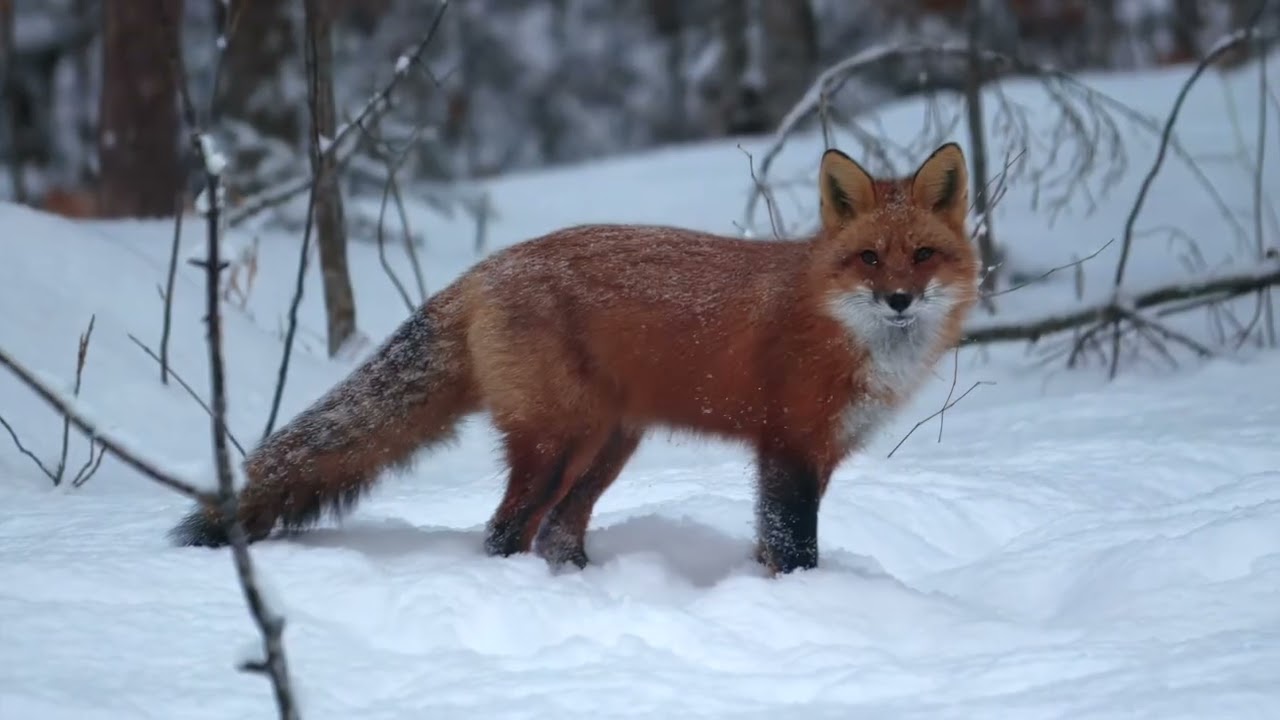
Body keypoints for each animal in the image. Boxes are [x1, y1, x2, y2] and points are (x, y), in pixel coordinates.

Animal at [169, 142, 980, 576]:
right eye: (869, 258)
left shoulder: (819, 454)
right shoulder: (786, 447)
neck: (838, 327)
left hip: (606, 445)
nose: (899, 300)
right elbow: (793, 546)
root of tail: (482, 270)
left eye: (923, 256)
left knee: (556, 532)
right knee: (504, 532)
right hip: (559, 443)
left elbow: (774, 545)